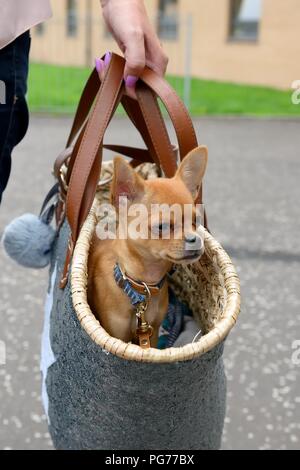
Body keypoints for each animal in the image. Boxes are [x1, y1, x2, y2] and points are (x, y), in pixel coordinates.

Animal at [88, 147, 207, 348]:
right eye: (162, 227)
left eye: (196, 221)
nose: (195, 239)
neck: (141, 287)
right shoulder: (116, 334)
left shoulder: (152, 331)